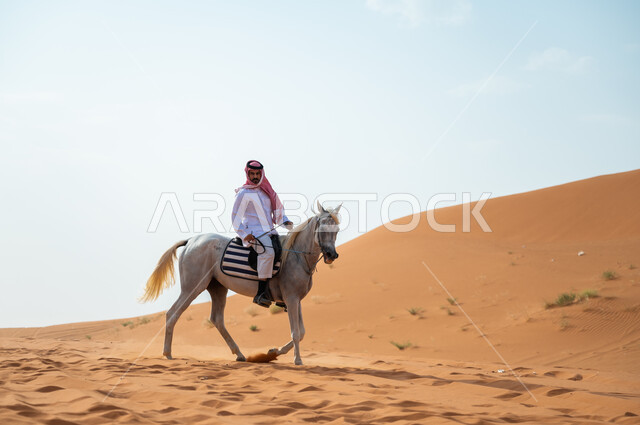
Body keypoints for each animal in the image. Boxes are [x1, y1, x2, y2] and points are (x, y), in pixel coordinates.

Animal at [141, 202, 341, 365]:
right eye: (322, 230)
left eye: (337, 230)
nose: (332, 255)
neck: (297, 256)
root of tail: (192, 241)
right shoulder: (291, 299)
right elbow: (296, 332)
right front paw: (297, 360)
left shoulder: (296, 300)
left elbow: (302, 332)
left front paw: (273, 352)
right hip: (193, 287)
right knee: (173, 313)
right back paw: (167, 353)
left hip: (217, 288)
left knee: (217, 319)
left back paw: (239, 354)